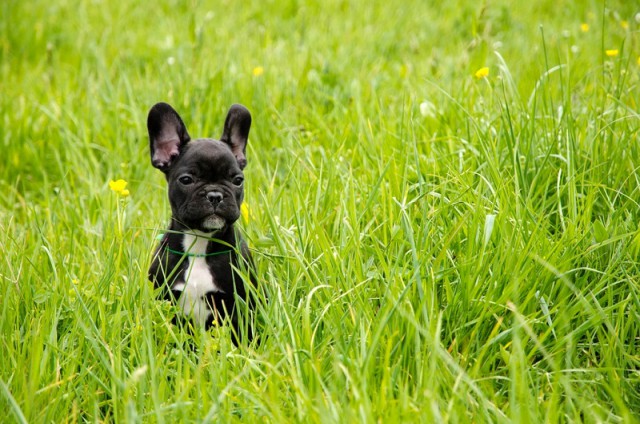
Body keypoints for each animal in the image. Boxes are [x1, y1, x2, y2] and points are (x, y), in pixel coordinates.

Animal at [147, 103, 255, 344]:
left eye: (237, 180)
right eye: (187, 180)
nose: (215, 195)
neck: (199, 243)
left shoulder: (239, 304)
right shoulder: (164, 298)